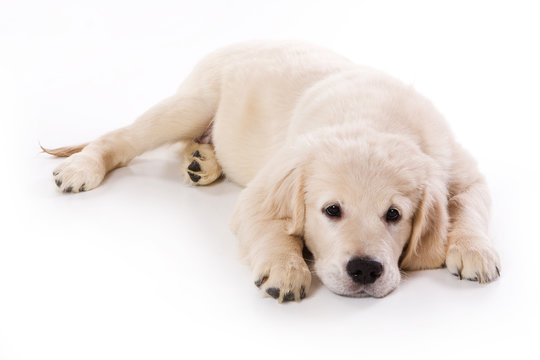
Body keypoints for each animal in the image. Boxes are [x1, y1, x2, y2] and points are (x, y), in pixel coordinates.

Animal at [43, 41, 502, 300]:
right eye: (331, 211)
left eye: (394, 215)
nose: (365, 271)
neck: (375, 121)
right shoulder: (262, 191)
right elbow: (271, 227)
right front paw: (286, 268)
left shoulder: (462, 170)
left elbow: (471, 206)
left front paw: (475, 250)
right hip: (191, 104)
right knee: (123, 137)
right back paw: (82, 166)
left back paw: (202, 162)